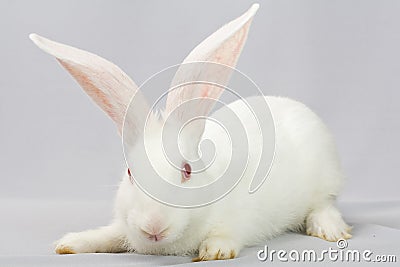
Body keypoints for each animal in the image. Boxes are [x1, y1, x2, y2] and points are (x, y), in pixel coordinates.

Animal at [30, 2, 350, 262]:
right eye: (131, 174)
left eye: (187, 170)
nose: (153, 226)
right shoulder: (123, 228)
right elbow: (108, 235)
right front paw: (69, 243)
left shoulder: (241, 219)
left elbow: (228, 233)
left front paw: (215, 251)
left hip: (325, 179)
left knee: (324, 204)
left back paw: (331, 230)